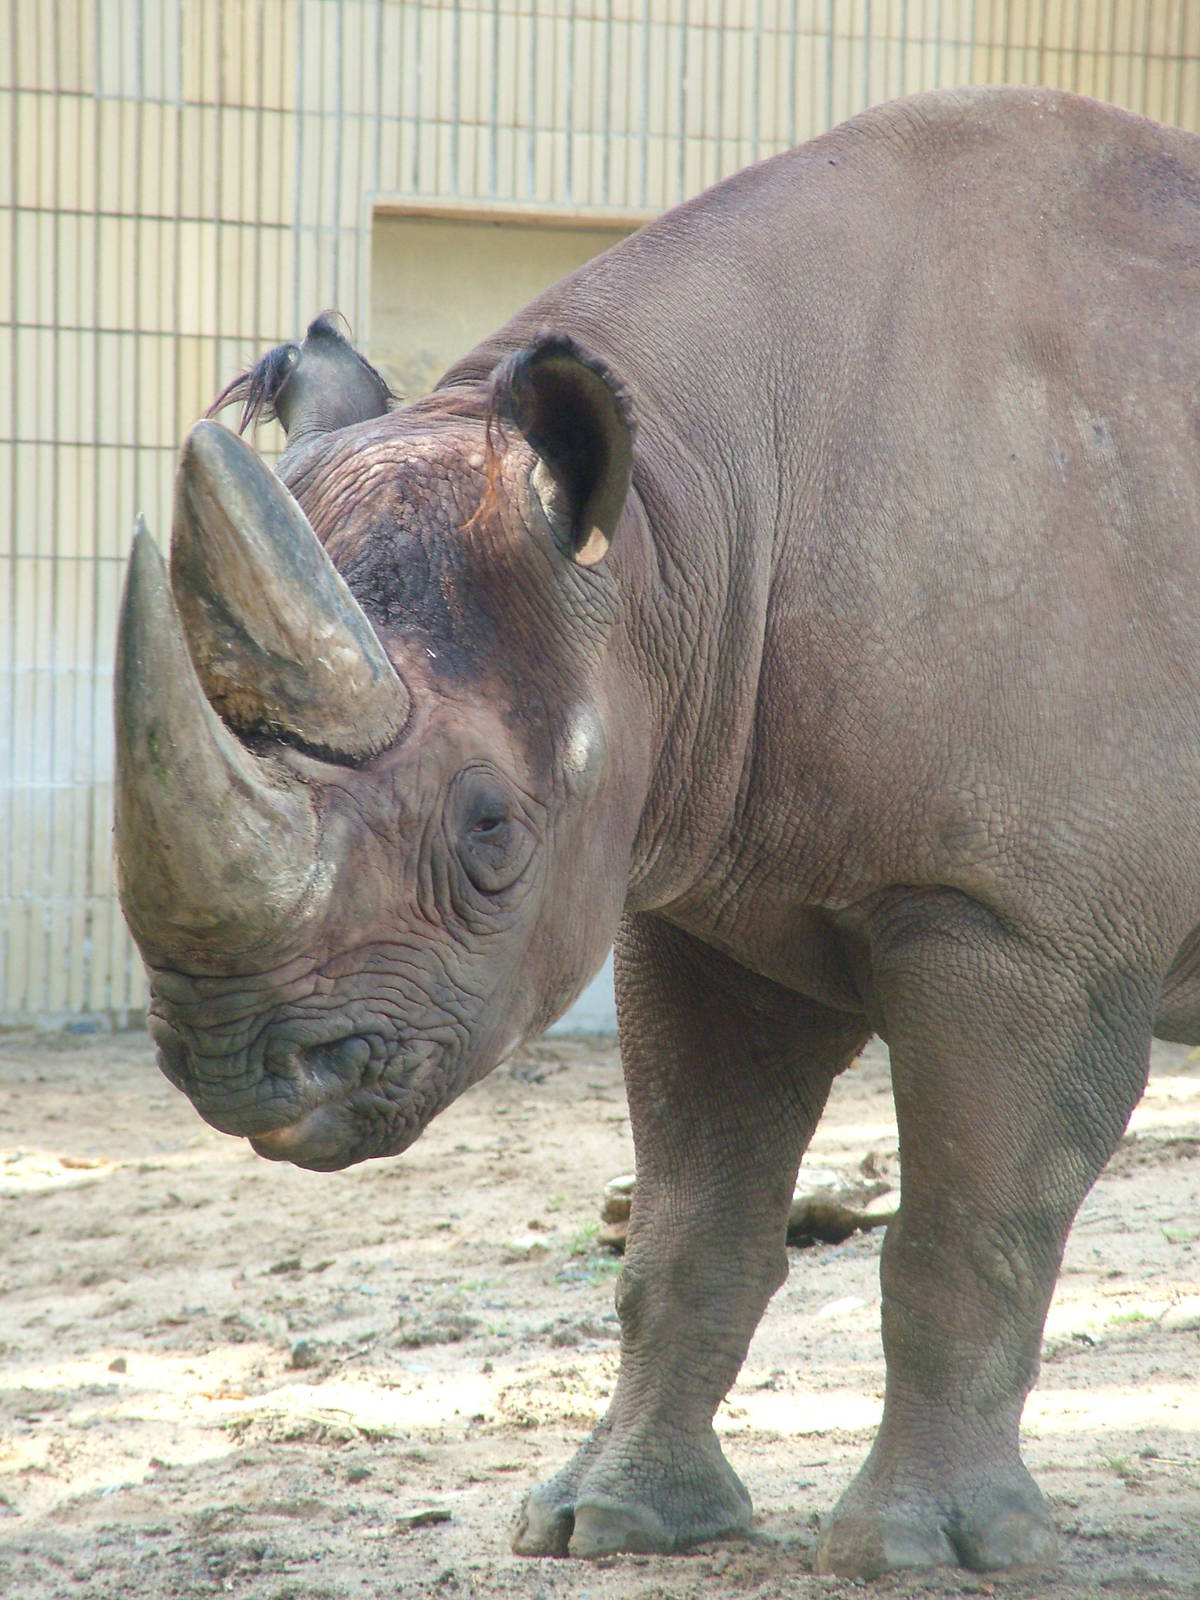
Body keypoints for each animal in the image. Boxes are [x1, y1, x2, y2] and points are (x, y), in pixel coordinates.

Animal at [113, 86, 1200, 1577]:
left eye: (492, 829)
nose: (234, 1071)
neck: (681, 533)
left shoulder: (1025, 920)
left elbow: (967, 1233)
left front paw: (912, 1552)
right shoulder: (713, 890)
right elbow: (688, 1230)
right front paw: (608, 1521)